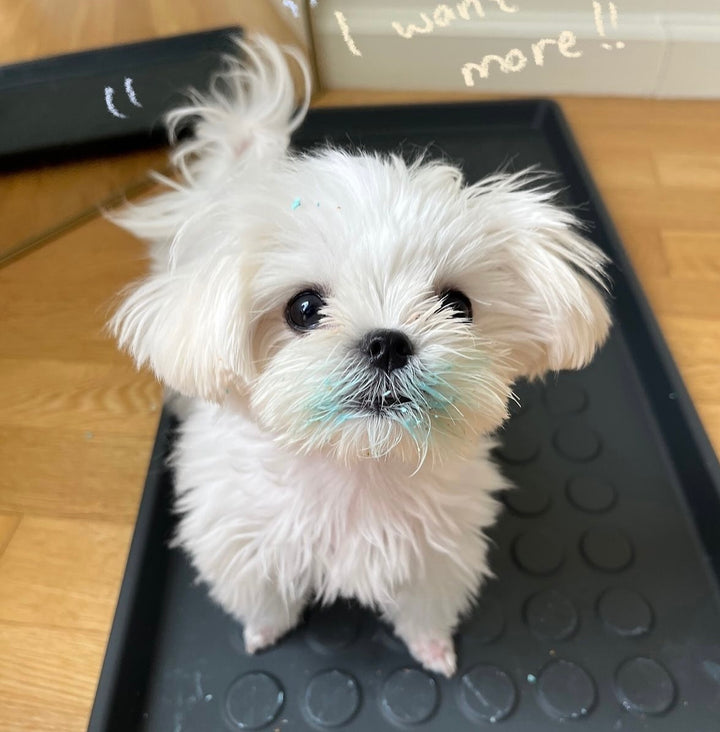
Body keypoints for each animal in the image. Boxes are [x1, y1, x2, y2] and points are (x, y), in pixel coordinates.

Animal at [109, 34, 612, 676]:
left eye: (457, 304)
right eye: (303, 309)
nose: (387, 341)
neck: (356, 468)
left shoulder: (437, 552)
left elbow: (424, 609)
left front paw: (433, 650)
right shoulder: (241, 539)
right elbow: (264, 597)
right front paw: (264, 632)